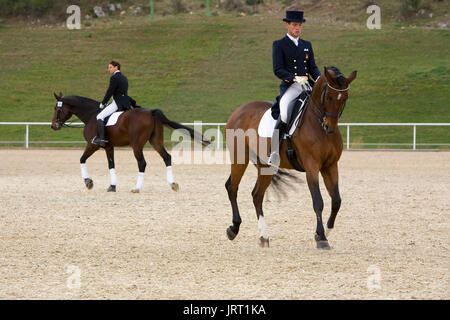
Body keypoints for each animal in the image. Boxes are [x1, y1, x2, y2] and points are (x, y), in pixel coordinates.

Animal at [50, 92, 209, 192]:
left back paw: (137, 188)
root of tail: (151, 112)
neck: (91, 115)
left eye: (57, 108)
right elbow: (111, 165)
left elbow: (82, 159)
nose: (53, 126)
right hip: (156, 141)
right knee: (167, 157)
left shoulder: (93, 144)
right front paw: (112, 186)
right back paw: (173, 184)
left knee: (142, 163)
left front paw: (88, 182)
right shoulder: (108, 147)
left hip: (136, 145)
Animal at [223, 65, 356, 250]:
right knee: (232, 187)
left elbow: (336, 200)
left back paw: (264, 236)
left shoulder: (330, 166)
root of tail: (239, 110)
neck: (317, 124)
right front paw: (321, 237)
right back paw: (234, 229)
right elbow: (318, 201)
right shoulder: (312, 167)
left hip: (266, 166)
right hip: (239, 157)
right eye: (328, 96)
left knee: (257, 195)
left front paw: (325, 232)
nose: (329, 127)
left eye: (344, 98)